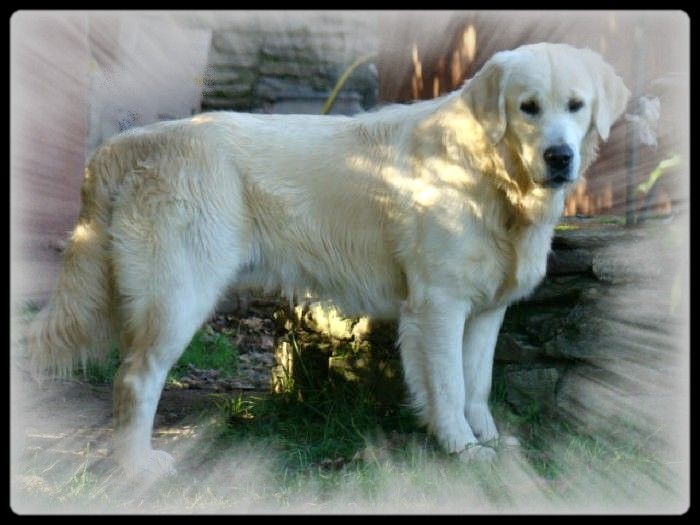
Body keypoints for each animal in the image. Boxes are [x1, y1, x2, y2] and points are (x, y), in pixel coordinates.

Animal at [26, 43, 628, 476]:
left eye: (576, 106)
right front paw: (459, 449)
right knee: (135, 379)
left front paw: (490, 441)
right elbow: (451, 387)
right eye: (528, 108)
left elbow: (477, 385)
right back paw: (138, 466)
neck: (492, 174)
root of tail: (127, 144)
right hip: (178, 295)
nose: (560, 157)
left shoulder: (484, 311)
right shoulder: (438, 305)